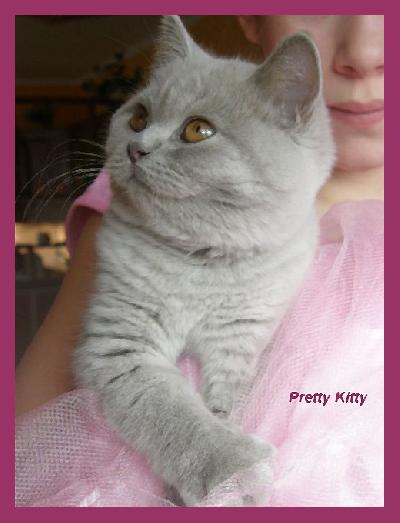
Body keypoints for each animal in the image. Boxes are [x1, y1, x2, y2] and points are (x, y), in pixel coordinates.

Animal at [73, 15, 335, 506]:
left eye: (198, 131)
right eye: (138, 118)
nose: (136, 148)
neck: (202, 262)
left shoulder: (242, 338)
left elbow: (227, 402)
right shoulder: (120, 343)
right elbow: (172, 411)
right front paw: (236, 468)